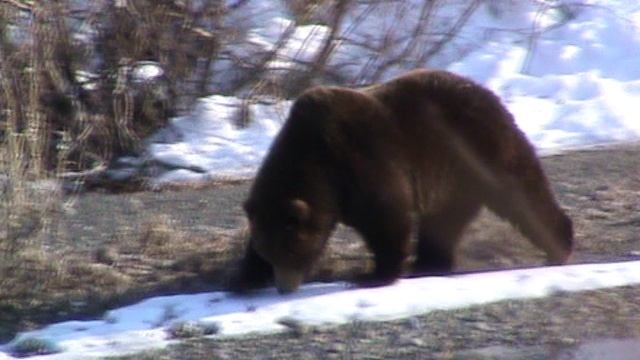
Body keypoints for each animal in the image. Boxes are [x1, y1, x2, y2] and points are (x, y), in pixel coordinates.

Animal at [235, 69, 576, 294]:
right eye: (270, 252)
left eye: (292, 250)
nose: (284, 286)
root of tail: (489, 92)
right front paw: (244, 277)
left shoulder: (361, 162)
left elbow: (387, 217)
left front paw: (372, 275)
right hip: (454, 181)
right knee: (444, 222)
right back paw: (428, 264)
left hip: (480, 151)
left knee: (522, 194)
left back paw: (559, 245)